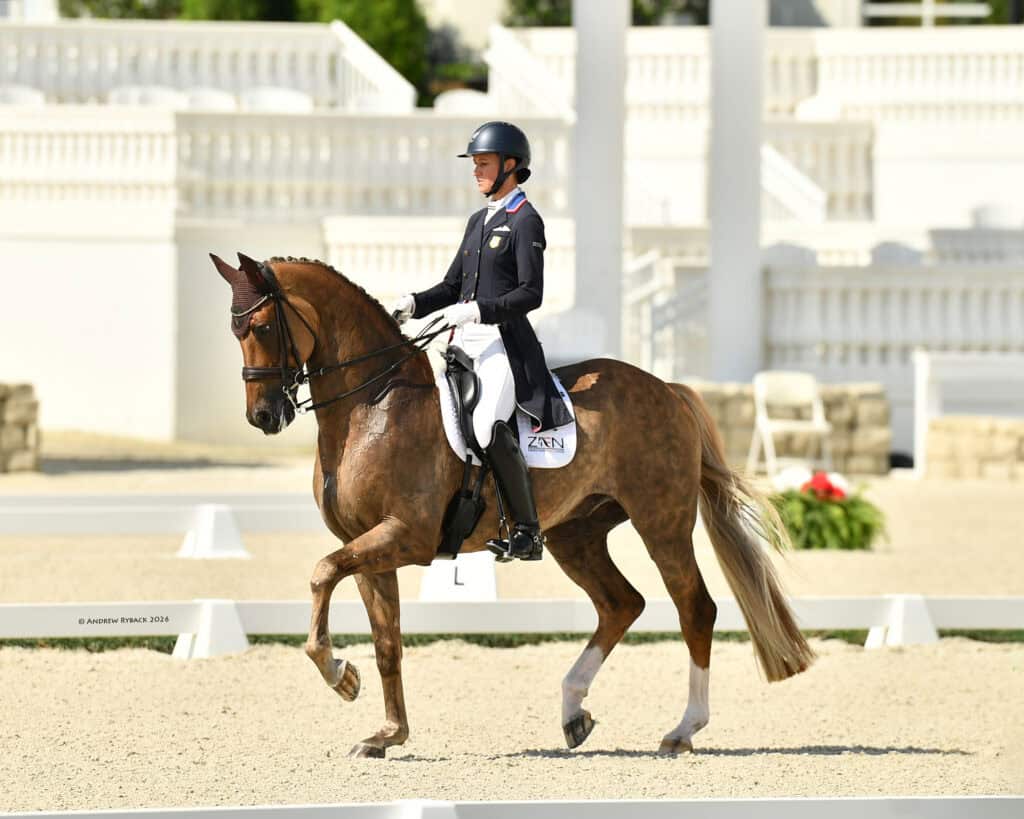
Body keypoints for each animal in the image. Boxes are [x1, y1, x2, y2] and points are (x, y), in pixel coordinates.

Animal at [211, 252, 815, 759]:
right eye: (234, 330)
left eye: (262, 327)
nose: (263, 417)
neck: (373, 405)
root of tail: (668, 389)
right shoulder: (365, 547)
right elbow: (386, 640)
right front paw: (387, 734)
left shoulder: (404, 536)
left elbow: (319, 575)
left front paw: (340, 675)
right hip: (576, 534)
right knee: (621, 604)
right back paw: (573, 712)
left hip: (660, 524)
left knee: (695, 608)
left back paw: (682, 729)